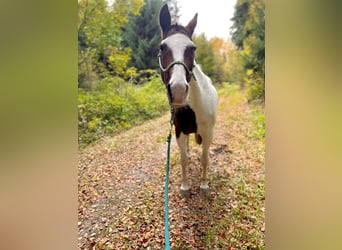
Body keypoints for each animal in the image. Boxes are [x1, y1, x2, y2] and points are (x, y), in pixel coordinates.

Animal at [158, 2, 218, 196]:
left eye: (193, 48)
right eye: (162, 47)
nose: (177, 90)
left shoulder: (208, 132)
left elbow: (205, 158)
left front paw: (204, 186)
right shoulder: (179, 131)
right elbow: (183, 158)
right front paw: (185, 187)